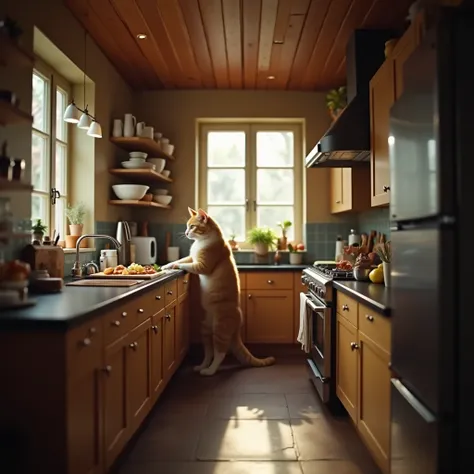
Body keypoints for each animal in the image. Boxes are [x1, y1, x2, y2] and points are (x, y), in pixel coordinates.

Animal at [162, 209, 274, 376]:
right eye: (187, 226)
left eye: (192, 226)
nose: (187, 233)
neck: (202, 241)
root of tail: (237, 325)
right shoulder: (191, 257)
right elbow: (182, 259)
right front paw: (165, 266)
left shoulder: (201, 265)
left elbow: (184, 264)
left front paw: (175, 266)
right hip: (205, 328)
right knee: (209, 352)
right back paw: (202, 366)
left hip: (220, 329)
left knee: (220, 353)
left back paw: (210, 370)